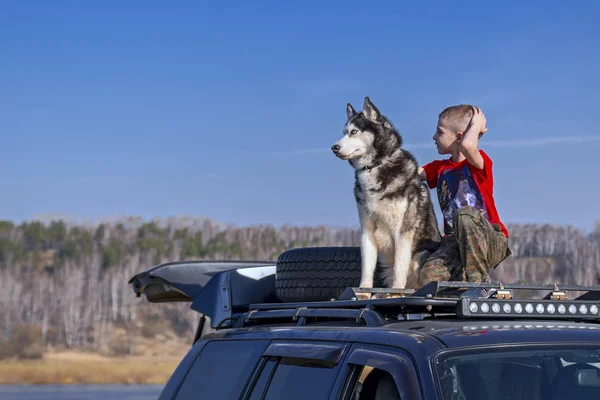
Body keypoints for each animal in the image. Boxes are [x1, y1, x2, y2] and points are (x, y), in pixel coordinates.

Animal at [332, 97, 440, 290]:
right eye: (344, 133)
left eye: (354, 131)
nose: (334, 147)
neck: (375, 166)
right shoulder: (366, 232)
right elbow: (366, 272)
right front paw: (364, 292)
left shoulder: (402, 233)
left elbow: (399, 272)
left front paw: (395, 293)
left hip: (419, 255)